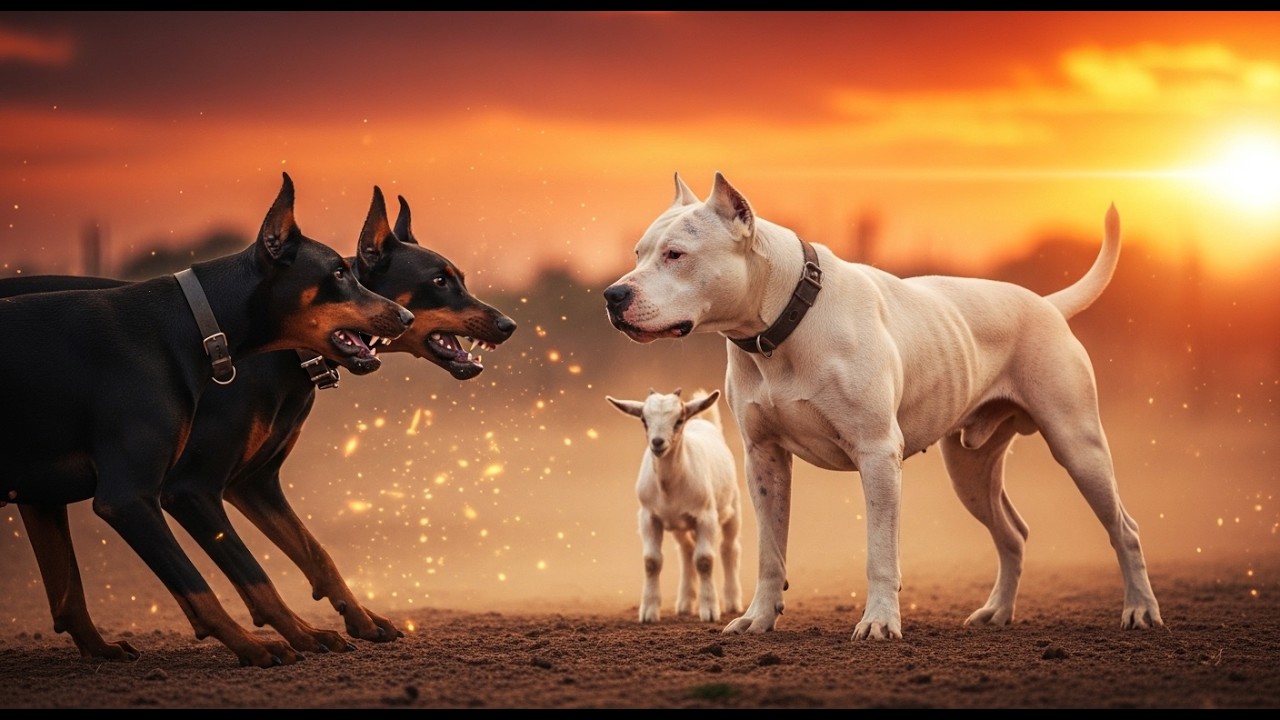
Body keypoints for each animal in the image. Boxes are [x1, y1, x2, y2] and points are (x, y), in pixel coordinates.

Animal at [605, 388, 743, 623]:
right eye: (644, 420)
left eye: (678, 420)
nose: (657, 442)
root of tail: (703, 422)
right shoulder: (649, 517)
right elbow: (651, 561)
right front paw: (648, 613)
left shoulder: (705, 516)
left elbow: (705, 560)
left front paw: (710, 611)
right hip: (678, 523)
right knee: (686, 551)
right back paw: (685, 604)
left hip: (732, 508)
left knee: (729, 548)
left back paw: (733, 602)